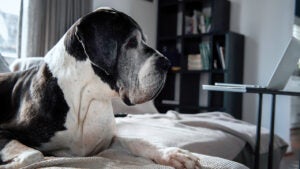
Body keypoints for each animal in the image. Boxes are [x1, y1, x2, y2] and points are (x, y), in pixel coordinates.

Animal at [0, 7, 202, 168]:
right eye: (131, 42)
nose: (167, 64)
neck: (88, 97)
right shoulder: (6, 130)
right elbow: (34, 155)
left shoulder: (107, 140)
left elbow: (138, 141)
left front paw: (173, 154)